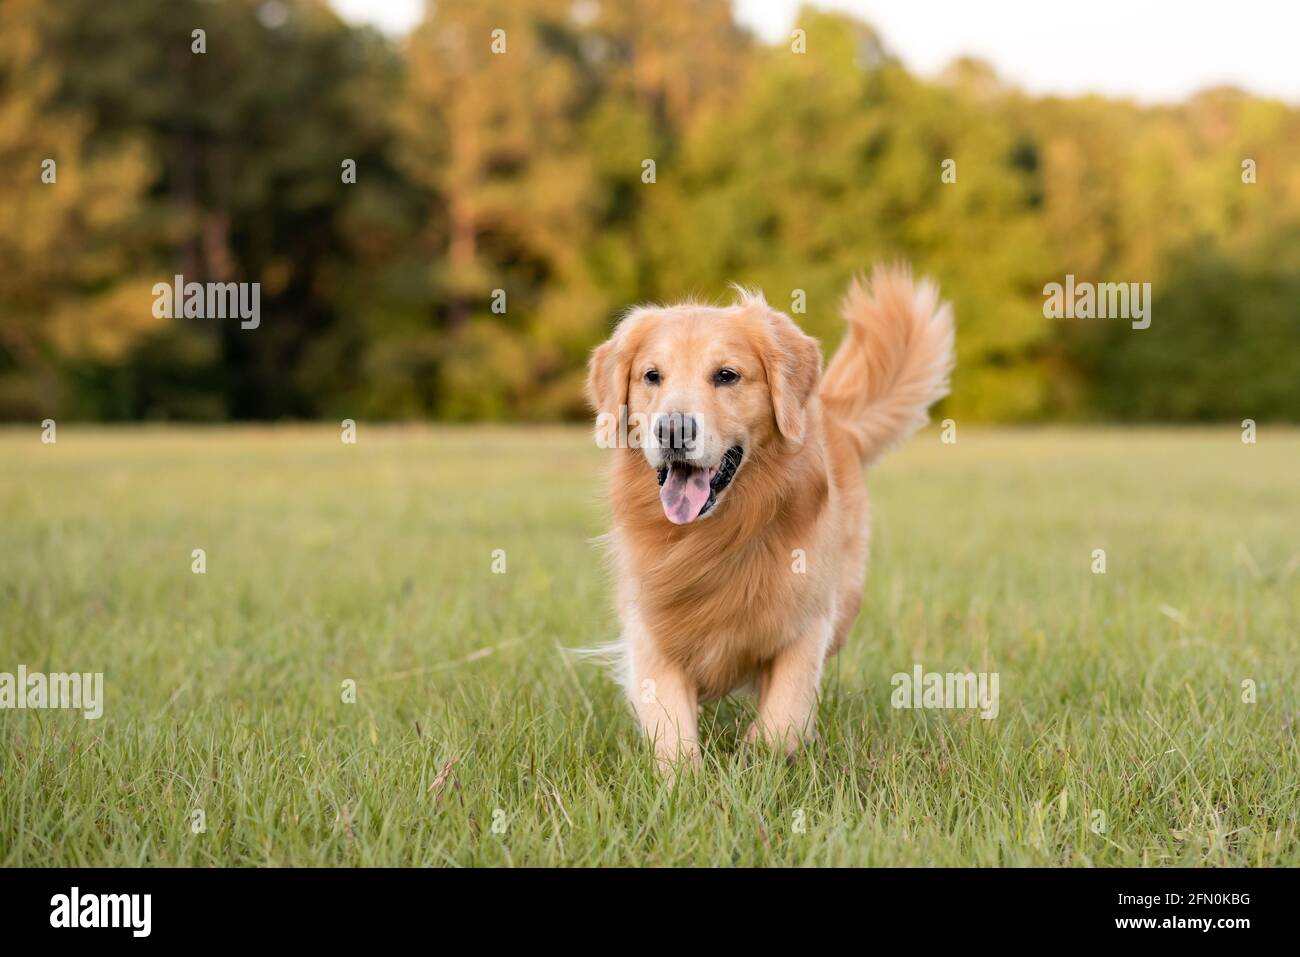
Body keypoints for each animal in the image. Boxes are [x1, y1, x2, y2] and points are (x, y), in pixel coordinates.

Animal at [585, 263, 951, 769]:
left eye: (726, 375)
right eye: (651, 375)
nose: (673, 430)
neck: (717, 536)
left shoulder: (808, 621)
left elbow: (783, 717)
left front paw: (758, 761)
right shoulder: (650, 633)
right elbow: (673, 733)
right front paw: (684, 779)